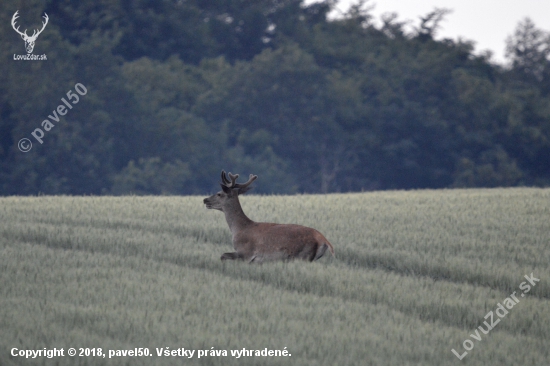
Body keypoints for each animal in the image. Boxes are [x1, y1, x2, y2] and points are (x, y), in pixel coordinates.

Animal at [205, 170, 334, 262]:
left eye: (219, 194)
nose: (205, 200)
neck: (239, 228)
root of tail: (324, 240)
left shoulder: (246, 253)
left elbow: (223, 255)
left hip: (303, 255)